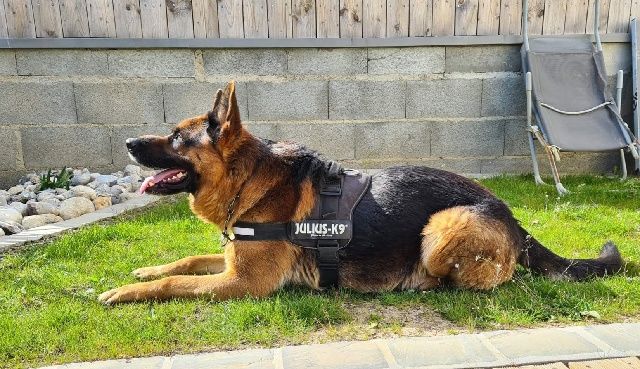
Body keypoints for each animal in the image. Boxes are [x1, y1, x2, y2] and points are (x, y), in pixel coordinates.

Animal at [97, 81, 624, 304]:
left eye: (176, 139)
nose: (128, 143)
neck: (251, 184)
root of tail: (514, 217)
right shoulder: (230, 263)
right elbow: (184, 262)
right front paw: (145, 270)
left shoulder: (242, 282)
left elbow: (175, 284)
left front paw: (125, 290)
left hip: (442, 228)